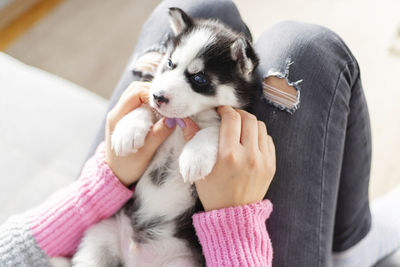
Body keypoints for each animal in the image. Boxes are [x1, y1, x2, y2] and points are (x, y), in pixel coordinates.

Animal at [71, 7, 260, 266]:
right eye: (170, 63)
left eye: (199, 78)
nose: (158, 96)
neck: (184, 121)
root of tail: (136, 259)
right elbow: (145, 108)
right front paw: (128, 129)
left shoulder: (235, 119)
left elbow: (215, 129)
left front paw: (194, 156)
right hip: (100, 235)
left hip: (180, 261)